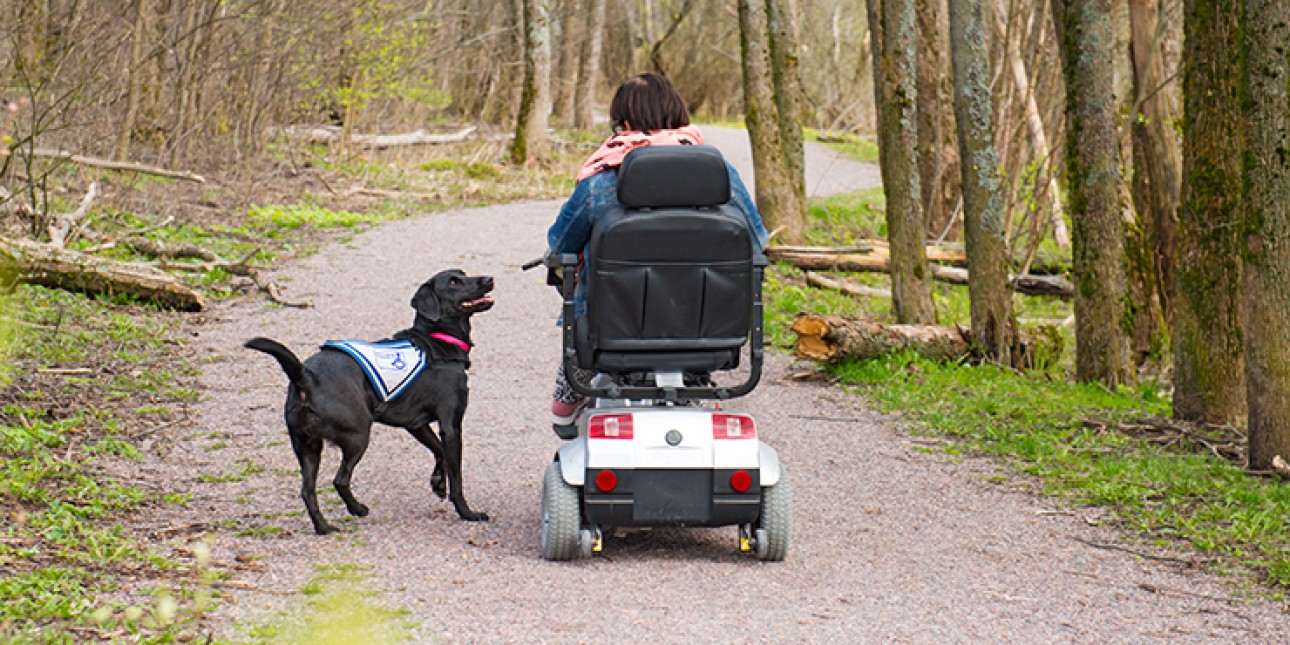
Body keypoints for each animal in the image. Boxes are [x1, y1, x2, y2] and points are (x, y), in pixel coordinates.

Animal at [245, 267, 492, 534]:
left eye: (463, 274)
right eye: (454, 282)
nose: (489, 279)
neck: (436, 341)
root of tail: (306, 376)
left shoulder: (416, 424)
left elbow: (439, 452)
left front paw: (438, 483)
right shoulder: (451, 426)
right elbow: (456, 477)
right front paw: (468, 513)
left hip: (308, 447)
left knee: (307, 491)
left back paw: (324, 527)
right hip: (357, 436)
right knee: (340, 480)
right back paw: (357, 509)